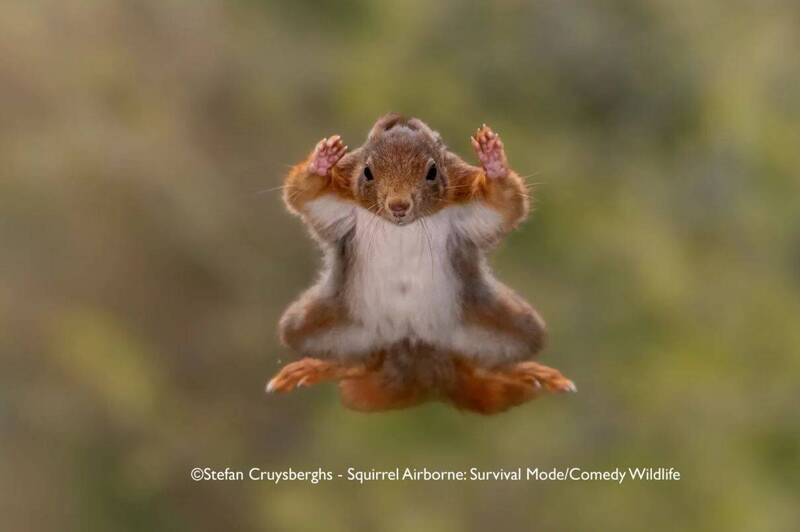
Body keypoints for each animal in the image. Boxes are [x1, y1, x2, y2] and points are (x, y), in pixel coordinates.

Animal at [266, 113, 575, 414]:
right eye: (367, 172)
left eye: (432, 172)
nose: (398, 206)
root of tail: (416, 355)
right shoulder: (340, 202)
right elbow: (303, 195)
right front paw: (321, 162)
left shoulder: (466, 202)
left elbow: (505, 205)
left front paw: (494, 162)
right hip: (317, 323)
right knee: (359, 361)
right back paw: (321, 366)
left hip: (506, 324)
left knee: (483, 364)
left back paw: (524, 372)